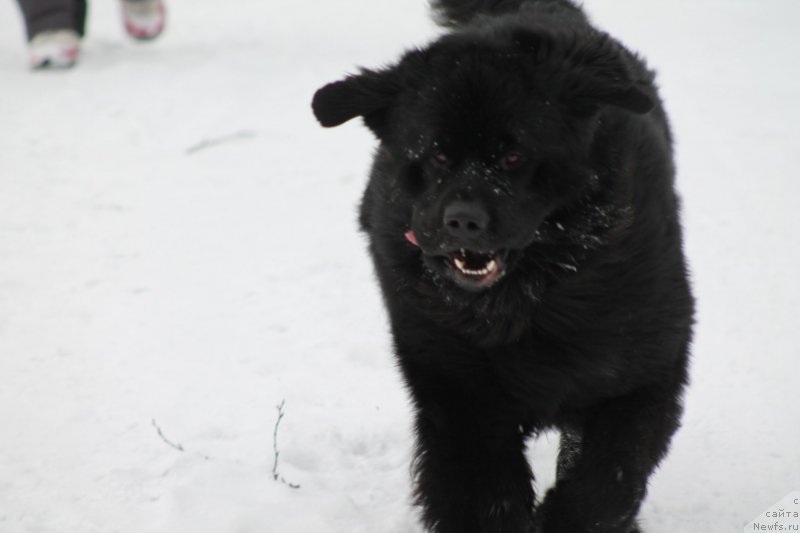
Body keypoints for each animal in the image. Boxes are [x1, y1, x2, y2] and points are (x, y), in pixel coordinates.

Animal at [310, 1, 692, 532]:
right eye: (437, 155)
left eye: (513, 156)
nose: (463, 220)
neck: (527, 302)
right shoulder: (459, 396)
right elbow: (483, 495)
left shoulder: (644, 371)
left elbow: (607, 479)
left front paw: (565, 516)